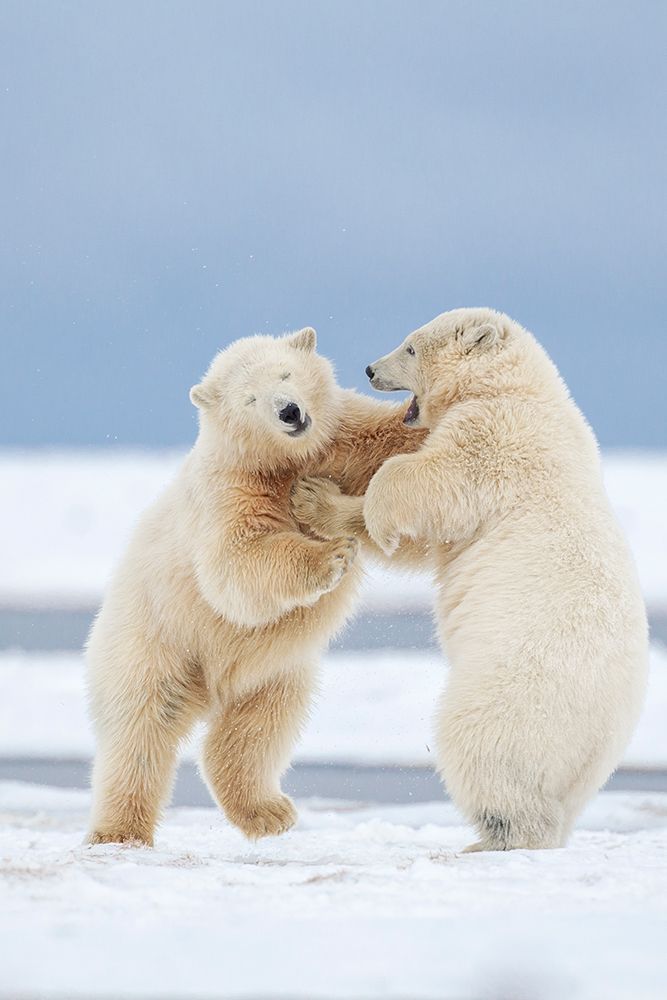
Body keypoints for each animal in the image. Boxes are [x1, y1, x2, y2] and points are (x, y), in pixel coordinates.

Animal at [85, 327, 425, 846]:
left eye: (285, 374)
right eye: (250, 398)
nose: (289, 411)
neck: (282, 461)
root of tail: (211, 688)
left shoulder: (343, 440)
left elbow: (393, 444)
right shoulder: (230, 488)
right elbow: (236, 563)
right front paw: (332, 556)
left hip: (271, 673)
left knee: (256, 730)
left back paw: (267, 812)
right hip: (153, 644)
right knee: (140, 734)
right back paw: (119, 832)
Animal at [292, 308, 649, 851]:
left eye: (410, 346)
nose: (371, 369)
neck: (515, 388)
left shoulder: (495, 440)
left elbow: (430, 484)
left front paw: (345, 505)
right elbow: (427, 540)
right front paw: (316, 496)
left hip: (518, 693)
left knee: (481, 747)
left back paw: (491, 837)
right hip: (584, 760)